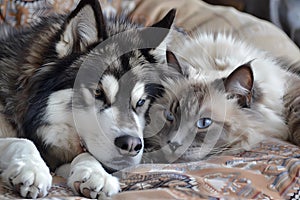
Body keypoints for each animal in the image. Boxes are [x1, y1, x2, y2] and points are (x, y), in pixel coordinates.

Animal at [0, 0, 176, 197]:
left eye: (140, 102)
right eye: (98, 92)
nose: (131, 145)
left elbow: (86, 155)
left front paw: (95, 173)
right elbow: (22, 141)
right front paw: (33, 168)